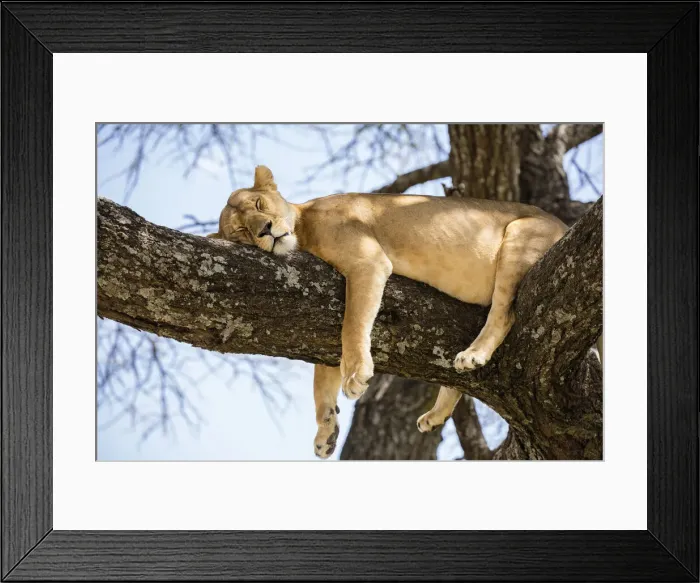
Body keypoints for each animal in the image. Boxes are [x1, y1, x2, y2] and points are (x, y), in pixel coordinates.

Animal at [208, 165, 569, 458]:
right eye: (241, 231)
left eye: (259, 205)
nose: (265, 230)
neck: (304, 228)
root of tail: (563, 224)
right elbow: (321, 376)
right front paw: (326, 431)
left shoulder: (367, 262)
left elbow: (352, 325)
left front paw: (355, 375)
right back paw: (436, 414)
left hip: (520, 234)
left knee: (504, 313)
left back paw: (474, 355)